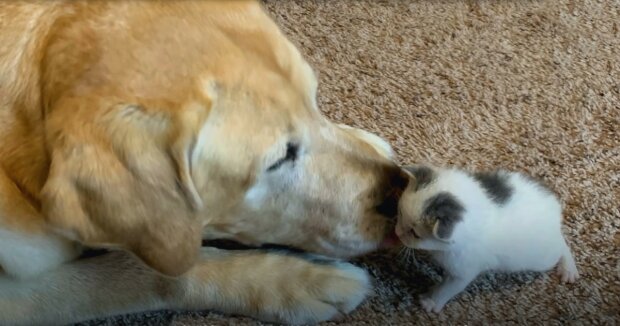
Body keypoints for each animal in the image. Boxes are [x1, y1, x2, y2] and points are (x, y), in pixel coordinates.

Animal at [0, 1, 406, 324]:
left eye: (315, 101)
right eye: (280, 159)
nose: (400, 193)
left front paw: (362, 137)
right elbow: (148, 273)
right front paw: (297, 280)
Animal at [400, 166, 580, 314]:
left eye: (415, 234)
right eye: (400, 213)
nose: (398, 233)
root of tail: (556, 211)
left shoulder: (465, 269)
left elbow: (448, 288)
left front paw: (431, 302)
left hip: (542, 258)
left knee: (561, 245)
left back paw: (568, 269)